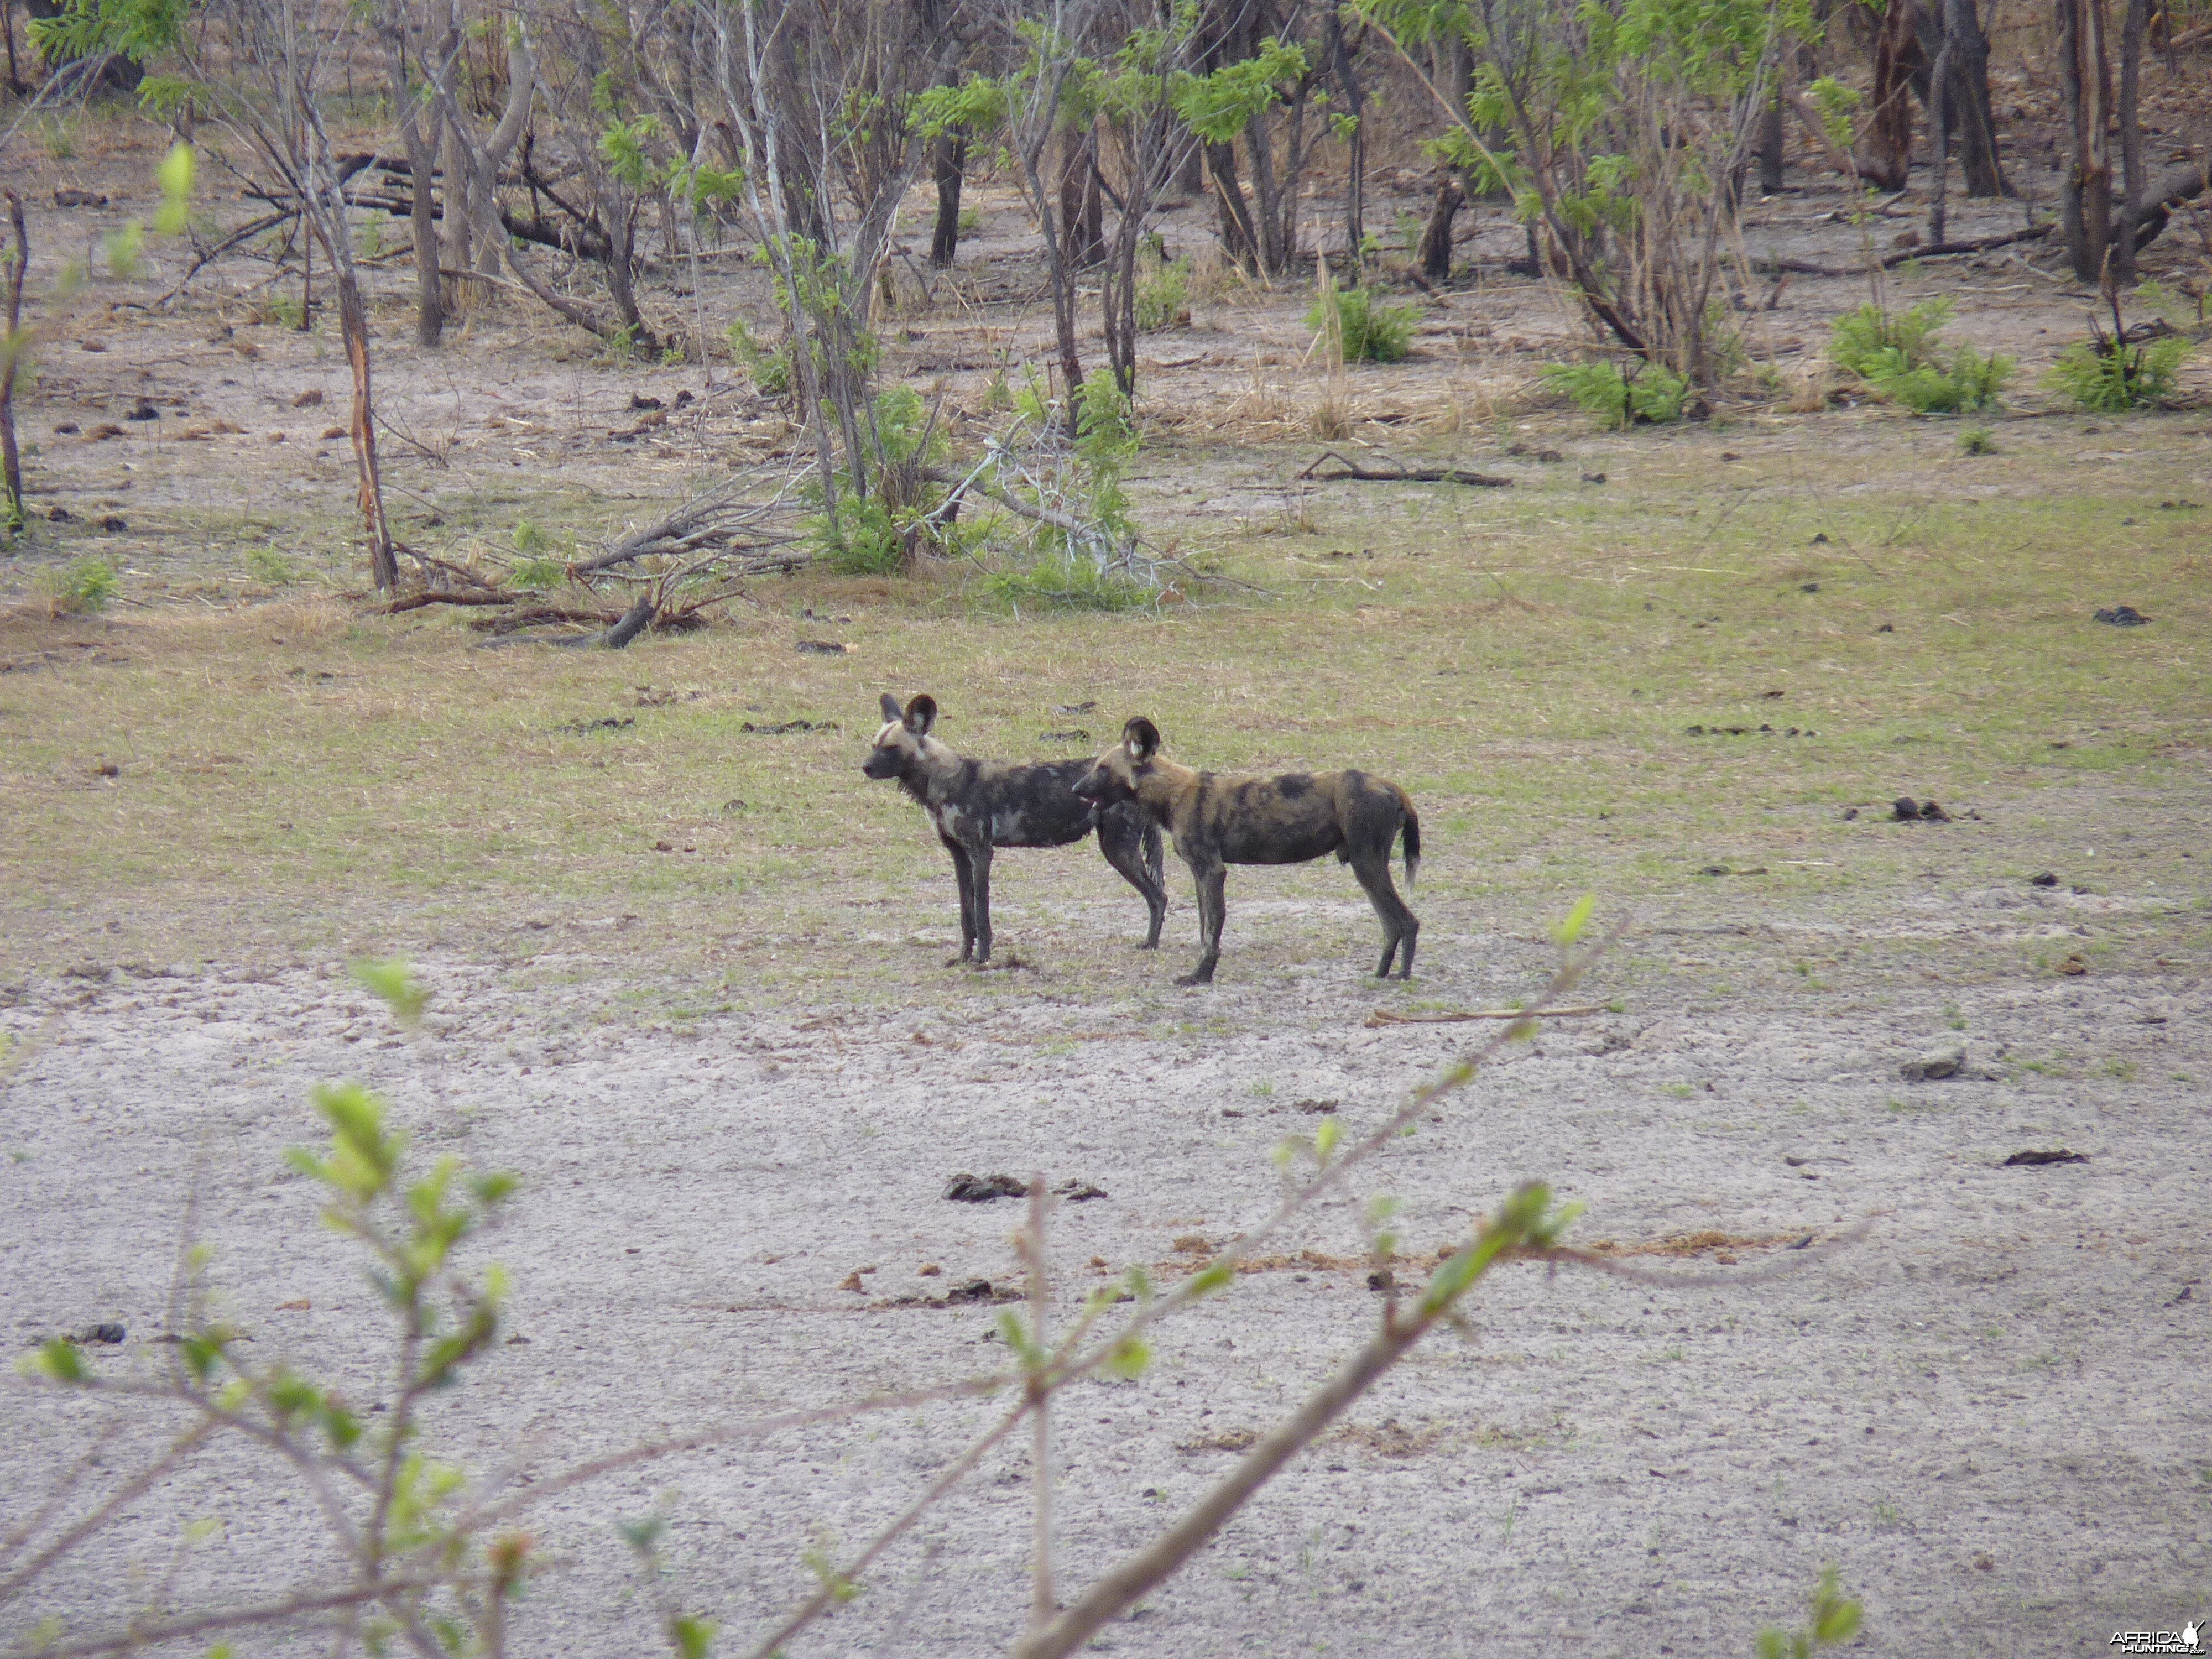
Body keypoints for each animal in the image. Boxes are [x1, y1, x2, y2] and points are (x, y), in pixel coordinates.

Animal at [863, 695, 1177, 969]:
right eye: (874, 745)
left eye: (891, 748)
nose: (864, 767)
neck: (940, 781)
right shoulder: (960, 856)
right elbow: (966, 915)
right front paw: (963, 958)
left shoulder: (981, 853)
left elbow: (981, 915)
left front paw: (983, 960)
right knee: (1157, 897)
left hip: (1117, 849)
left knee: (1158, 897)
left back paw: (1150, 945)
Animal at [1066, 717, 1416, 987]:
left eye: (1102, 769)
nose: (1075, 789)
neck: (1173, 794)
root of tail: (1393, 787)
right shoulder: (1199, 874)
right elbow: (1205, 926)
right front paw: (1201, 971)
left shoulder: (1212, 871)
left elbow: (1213, 929)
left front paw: (1200, 976)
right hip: (1365, 869)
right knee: (1391, 925)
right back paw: (1381, 973)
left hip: (1367, 865)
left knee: (1408, 922)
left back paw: (1402, 977)